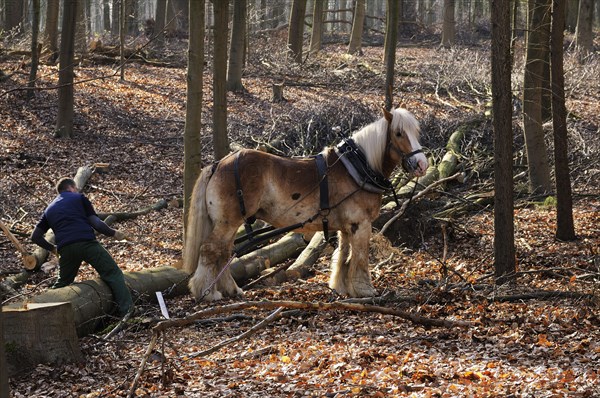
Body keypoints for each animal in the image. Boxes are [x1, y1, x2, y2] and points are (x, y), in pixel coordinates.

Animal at [183, 107, 426, 300]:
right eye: (398, 133)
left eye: (416, 132)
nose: (422, 164)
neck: (357, 167)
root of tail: (219, 164)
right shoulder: (361, 224)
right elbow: (359, 258)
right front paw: (365, 290)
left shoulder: (347, 227)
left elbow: (344, 256)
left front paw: (342, 287)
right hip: (228, 222)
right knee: (210, 250)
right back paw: (206, 292)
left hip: (230, 223)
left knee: (224, 252)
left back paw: (231, 290)